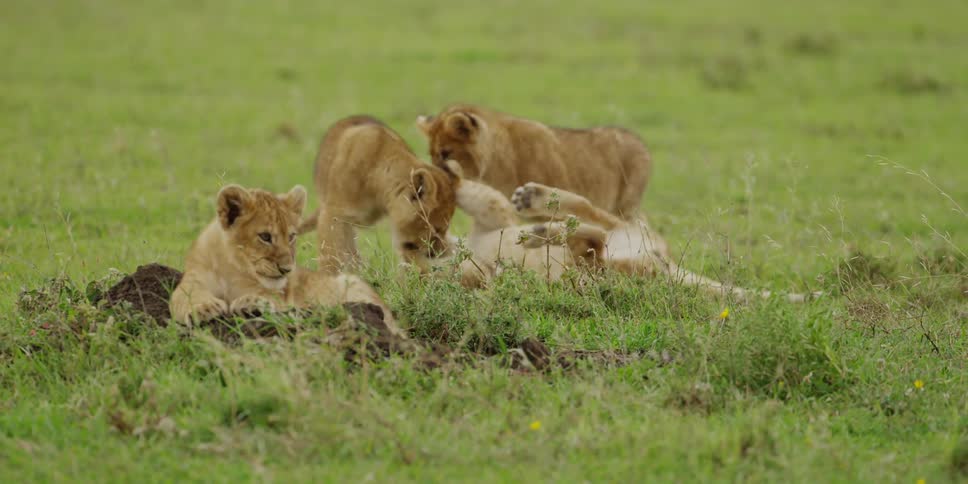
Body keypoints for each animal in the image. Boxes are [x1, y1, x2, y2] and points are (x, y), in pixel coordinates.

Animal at [169, 183, 400, 333]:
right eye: (265, 237)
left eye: (291, 236)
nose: (287, 269)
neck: (231, 267)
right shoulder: (193, 279)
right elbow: (183, 295)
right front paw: (203, 308)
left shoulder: (281, 297)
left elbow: (269, 298)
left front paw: (251, 303)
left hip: (349, 282)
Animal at [298, 115, 459, 273]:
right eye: (437, 229)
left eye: (444, 229)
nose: (439, 252)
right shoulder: (333, 214)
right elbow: (330, 256)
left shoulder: (403, 235)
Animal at [440, 163, 817, 302]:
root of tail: (668, 265)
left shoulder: (485, 228)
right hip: (621, 249)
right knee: (596, 228)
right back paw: (537, 212)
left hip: (603, 269)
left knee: (592, 233)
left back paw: (538, 224)